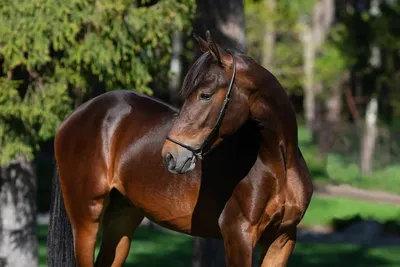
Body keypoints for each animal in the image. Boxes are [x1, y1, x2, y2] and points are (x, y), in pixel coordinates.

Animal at [47, 30, 312, 266]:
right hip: (86, 221)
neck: (277, 165)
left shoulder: (282, 239)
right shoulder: (239, 237)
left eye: (205, 95)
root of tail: (73, 117)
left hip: (122, 219)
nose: (171, 156)